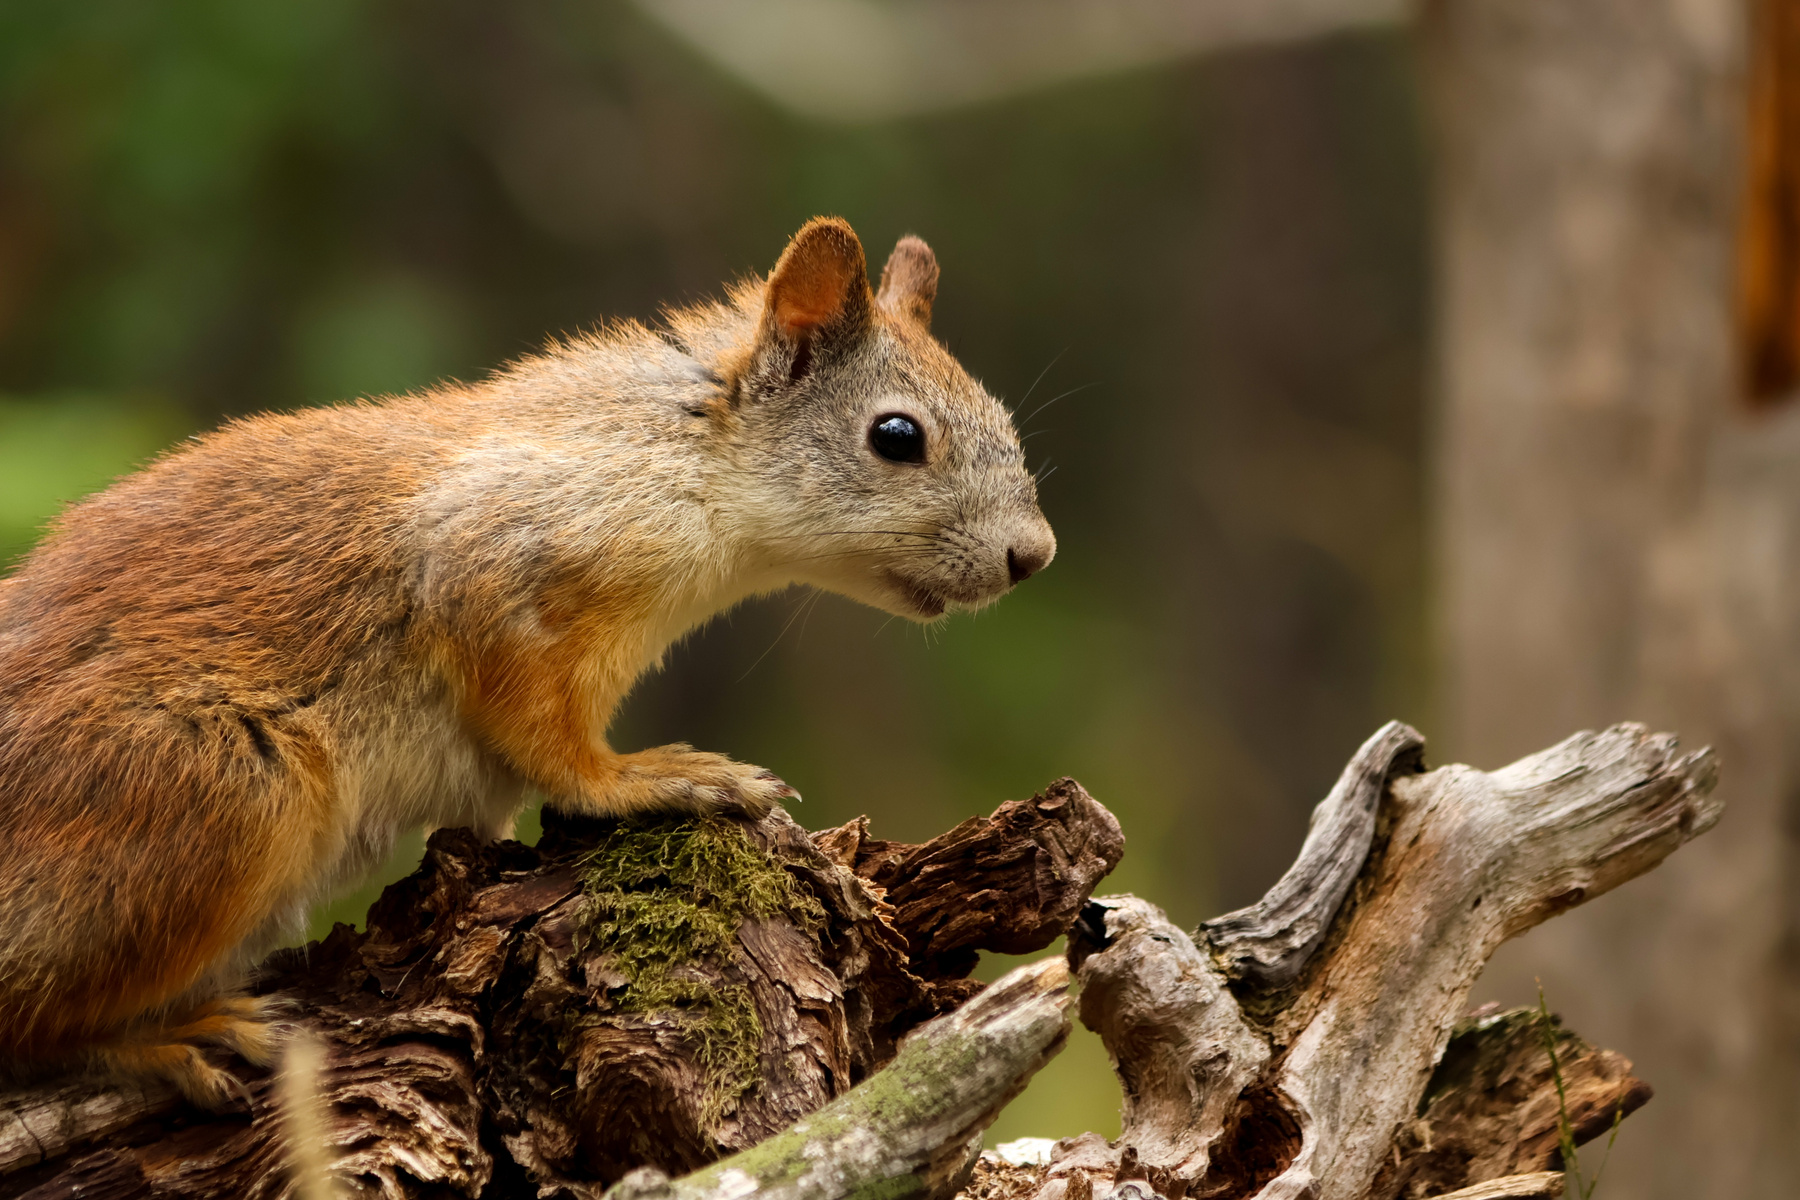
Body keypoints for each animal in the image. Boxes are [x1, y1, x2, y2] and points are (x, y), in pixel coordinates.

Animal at [0, 217, 1055, 1107]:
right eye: (896, 436)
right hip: (213, 796)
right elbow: (548, 742)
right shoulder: (494, 572)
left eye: (1005, 420)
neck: (687, 449)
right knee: (29, 1022)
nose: (1033, 556)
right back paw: (172, 1039)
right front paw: (651, 778)